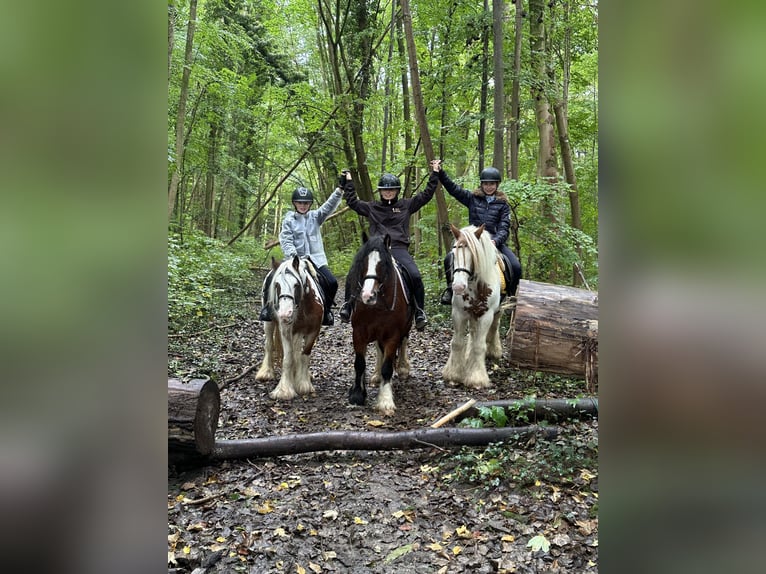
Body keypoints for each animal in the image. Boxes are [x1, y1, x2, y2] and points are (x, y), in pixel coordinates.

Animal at [256, 256, 326, 400]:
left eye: (296, 285)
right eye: (277, 285)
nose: (284, 313)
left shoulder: (313, 331)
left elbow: (304, 355)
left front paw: (304, 384)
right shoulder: (286, 330)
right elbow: (288, 358)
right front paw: (284, 390)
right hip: (269, 323)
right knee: (269, 344)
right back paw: (266, 372)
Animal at [348, 232, 414, 416]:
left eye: (383, 263)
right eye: (363, 261)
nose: (367, 295)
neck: (377, 306)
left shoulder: (393, 334)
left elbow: (387, 366)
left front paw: (385, 400)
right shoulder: (359, 332)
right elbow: (360, 363)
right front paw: (357, 394)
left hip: (405, 327)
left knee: (404, 341)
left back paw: (402, 368)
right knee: (379, 349)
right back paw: (377, 375)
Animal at [440, 223, 508, 390]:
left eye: (473, 253)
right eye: (454, 252)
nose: (458, 287)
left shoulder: (486, 315)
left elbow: (479, 346)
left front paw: (476, 378)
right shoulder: (459, 313)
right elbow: (457, 343)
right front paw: (454, 375)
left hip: (497, 311)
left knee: (494, 327)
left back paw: (494, 351)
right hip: (472, 313)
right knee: (473, 332)